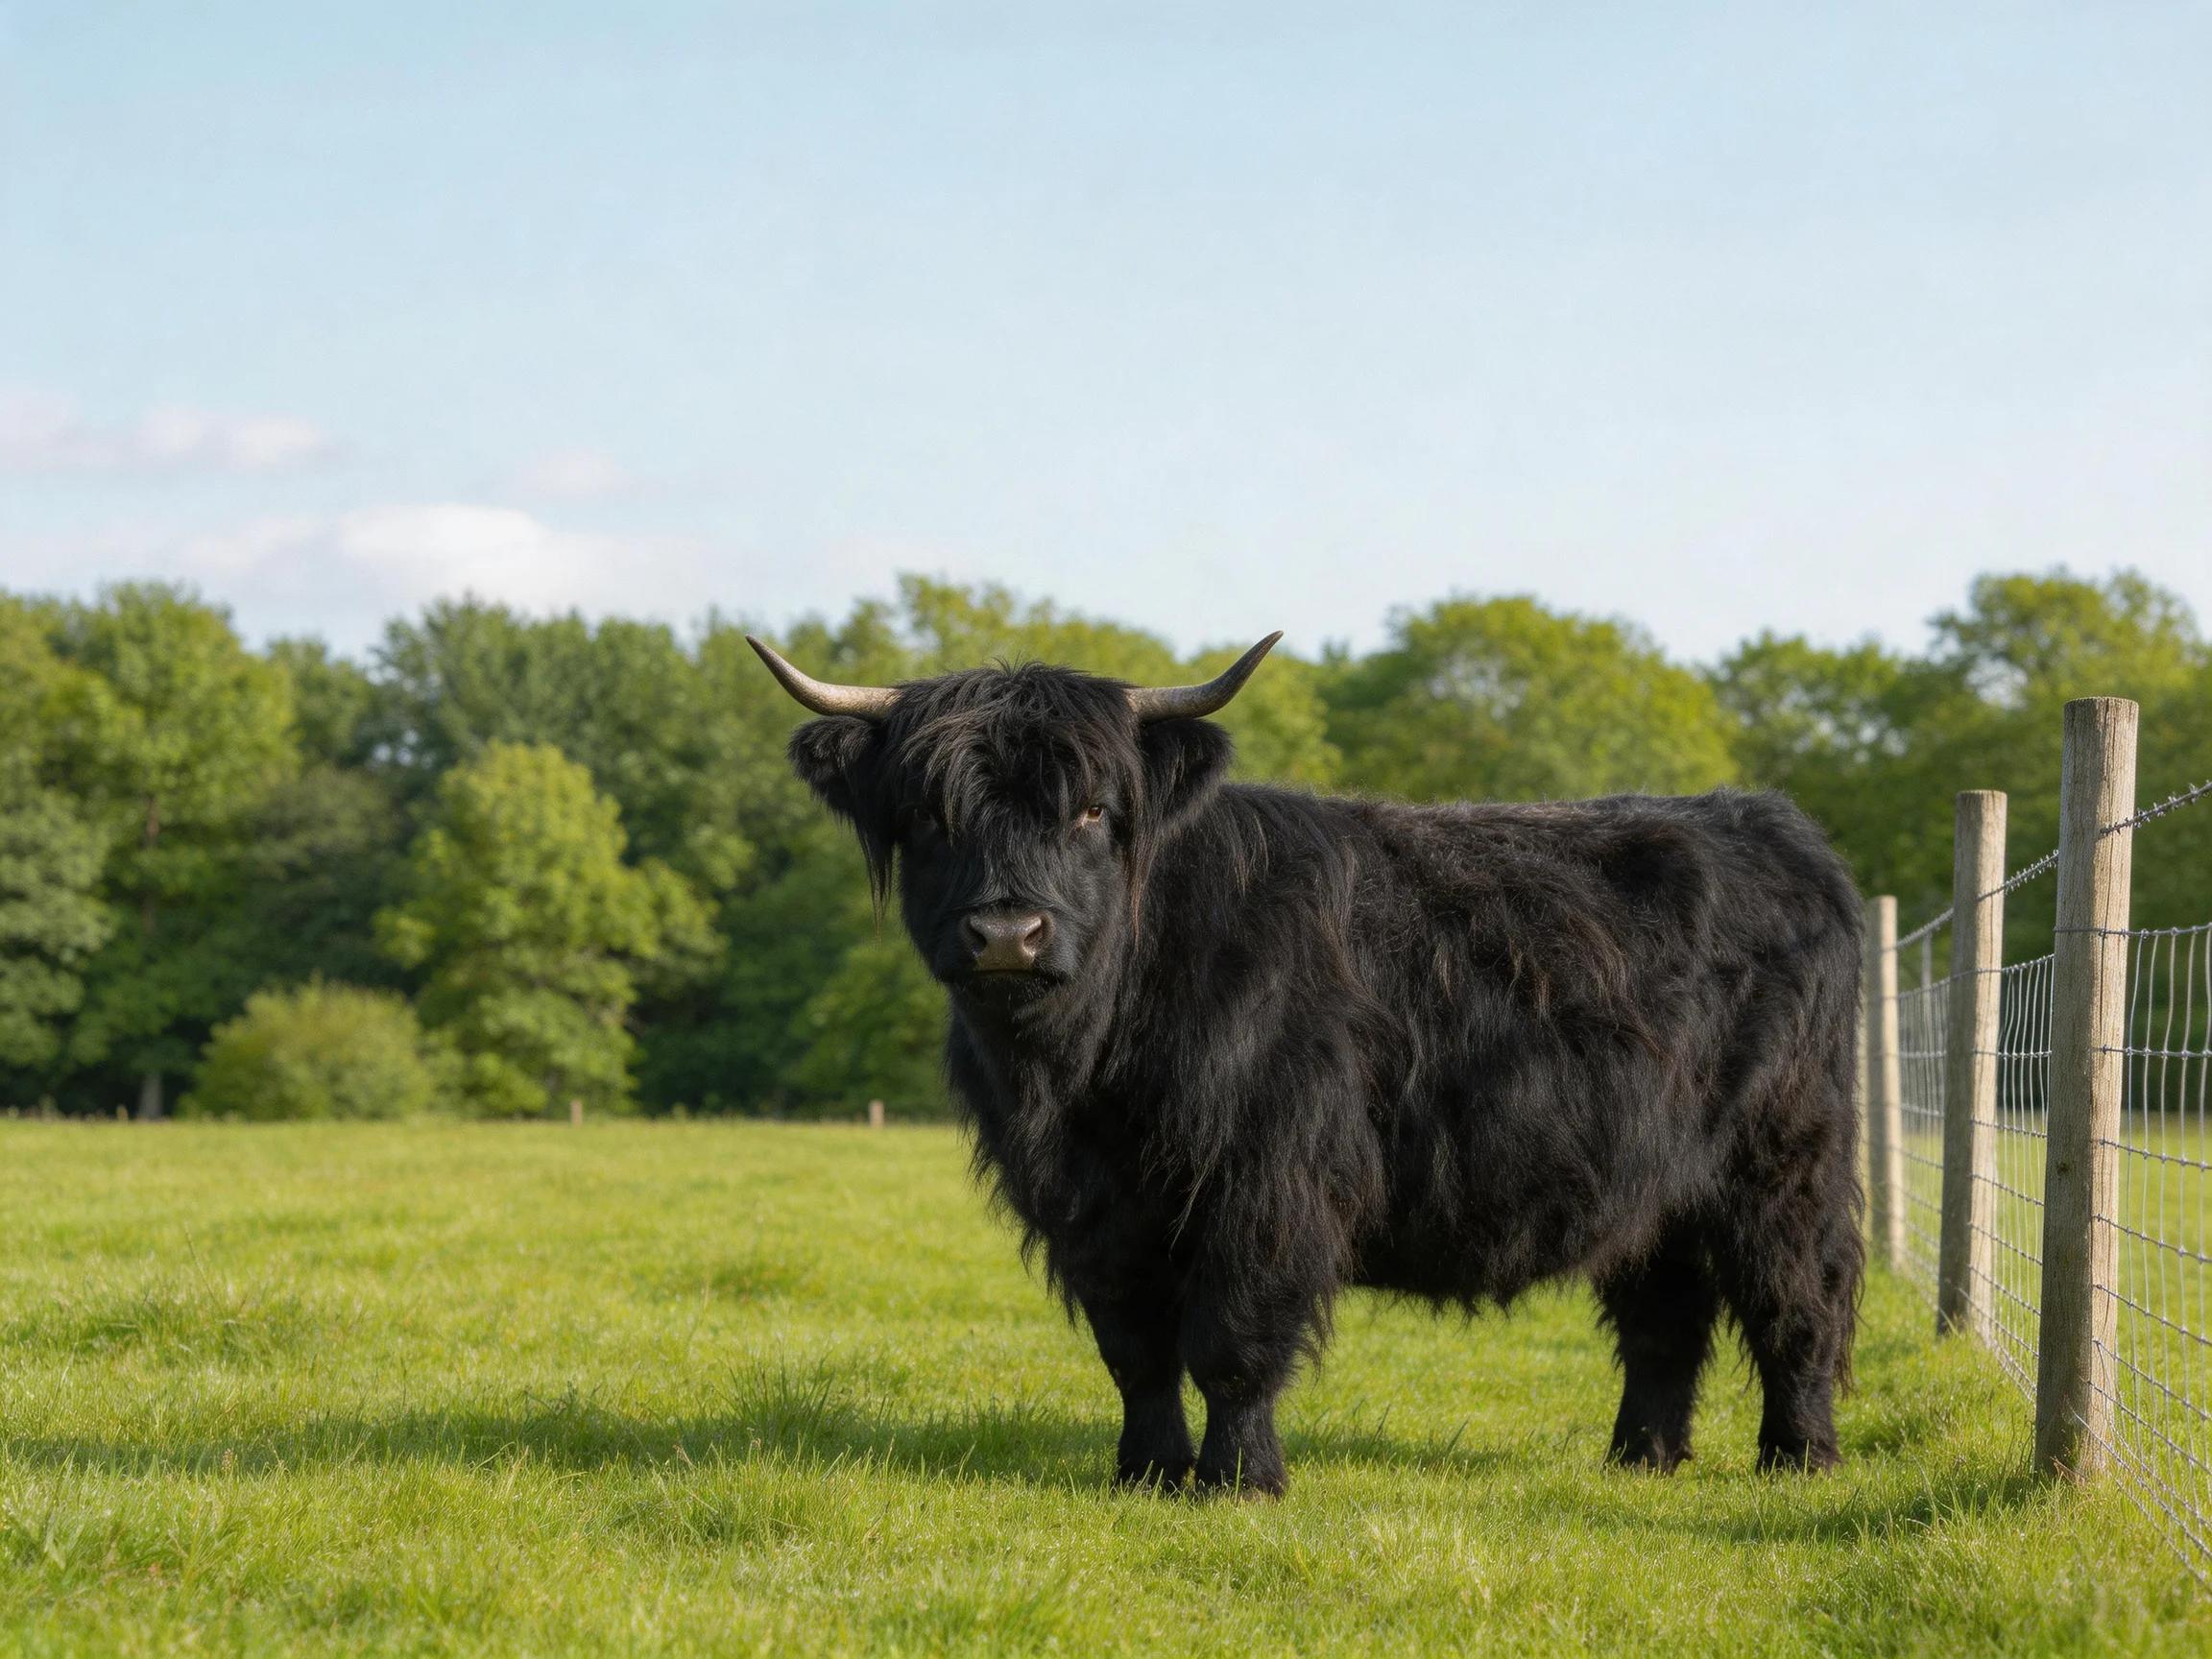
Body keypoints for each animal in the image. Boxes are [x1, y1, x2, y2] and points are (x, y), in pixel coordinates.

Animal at [749, 633, 1863, 1496]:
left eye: (1094, 812)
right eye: (929, 816)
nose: (1008, 934)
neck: (1079, 1079)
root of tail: (1769, 824)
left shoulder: (1267, 1179)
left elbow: (1232, 1341)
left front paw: (1241, 1480)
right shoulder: (1092, 1209)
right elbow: (1135, 1349)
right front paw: (1146, 1474)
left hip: (1784, 1159)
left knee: (1798, 1301)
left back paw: (1797, 1459)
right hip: (1654, 1181)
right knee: (1665, 1316)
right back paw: (1641, 1459)